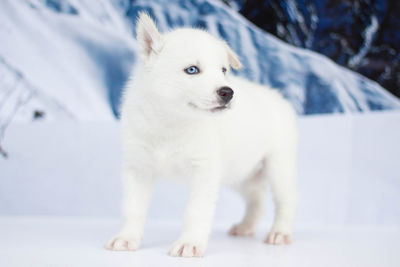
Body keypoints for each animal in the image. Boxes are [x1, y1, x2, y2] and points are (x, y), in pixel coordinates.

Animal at [104, 13, 298, 260]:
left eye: (224, 70)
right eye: (192, 70)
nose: (228, 92)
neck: (172, 122)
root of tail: (278, 98)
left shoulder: (204, 170)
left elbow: (195, 211)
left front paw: (189, 243)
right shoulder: (138, 168)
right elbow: (132, 207)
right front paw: (126, 238)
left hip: (278, 165)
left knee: (286, 200)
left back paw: (280, 232)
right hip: (240, 173)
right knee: (257, 197)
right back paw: (246, 226)